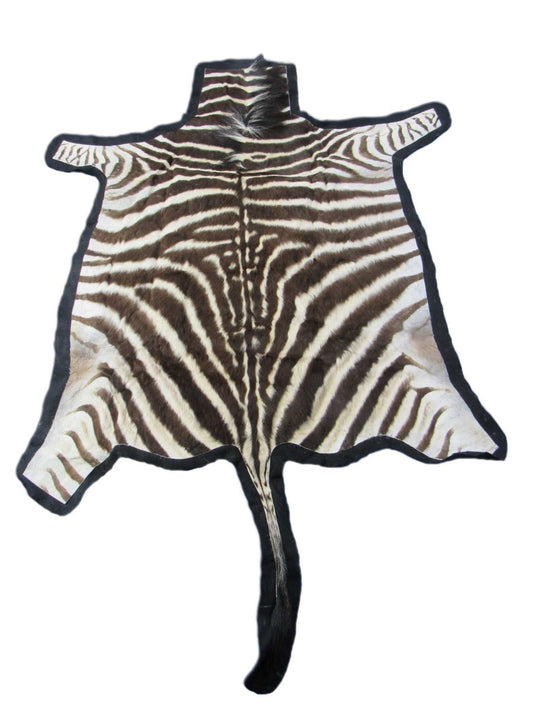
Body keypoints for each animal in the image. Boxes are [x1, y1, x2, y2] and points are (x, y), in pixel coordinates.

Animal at [17, 54, 506, 693]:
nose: (252, 64)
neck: (242, 134)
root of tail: (256, 438)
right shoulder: (137, 154)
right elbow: (92, 148)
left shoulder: (351, 140)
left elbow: (399, 124)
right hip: (93, 391)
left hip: (415, 377)